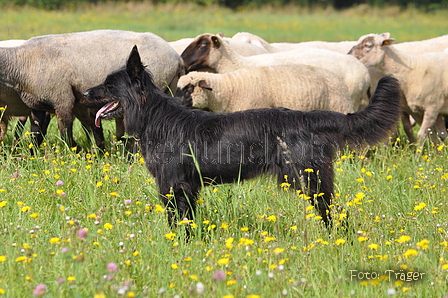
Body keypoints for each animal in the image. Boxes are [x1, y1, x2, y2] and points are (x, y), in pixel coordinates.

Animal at [0, 29, 183, 149]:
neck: (21, 63)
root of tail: (177, 57)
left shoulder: (63, 100)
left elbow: (66, 135)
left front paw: (77, 152)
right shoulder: (37, 104)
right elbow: (35, 134)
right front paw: (33, 155)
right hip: (170, 88)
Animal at [84, 46, 402, 228]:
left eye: (109, 85)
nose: (85, 92)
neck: (155, 117)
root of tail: (306, 117)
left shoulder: (175, 186)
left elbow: (178, 224)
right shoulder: (187, 188)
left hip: (309, 180)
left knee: (336, 216)